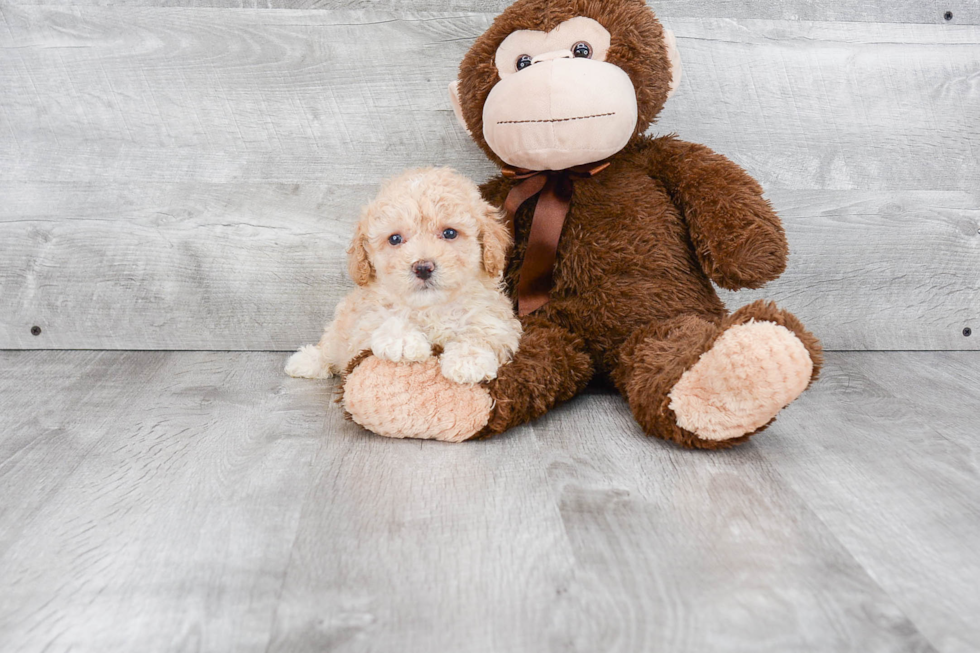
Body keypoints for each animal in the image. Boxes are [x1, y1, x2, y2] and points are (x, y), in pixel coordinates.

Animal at [284, 166, 520, 384]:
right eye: (395, 239)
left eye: (450, 233)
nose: (423, 267)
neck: (430, 309)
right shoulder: (361, 326)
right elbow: (384, 319)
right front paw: (404, 342)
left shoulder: (499, 322)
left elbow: (482, 330)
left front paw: (468, 360)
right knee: (329, 344)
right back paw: (307, 360)